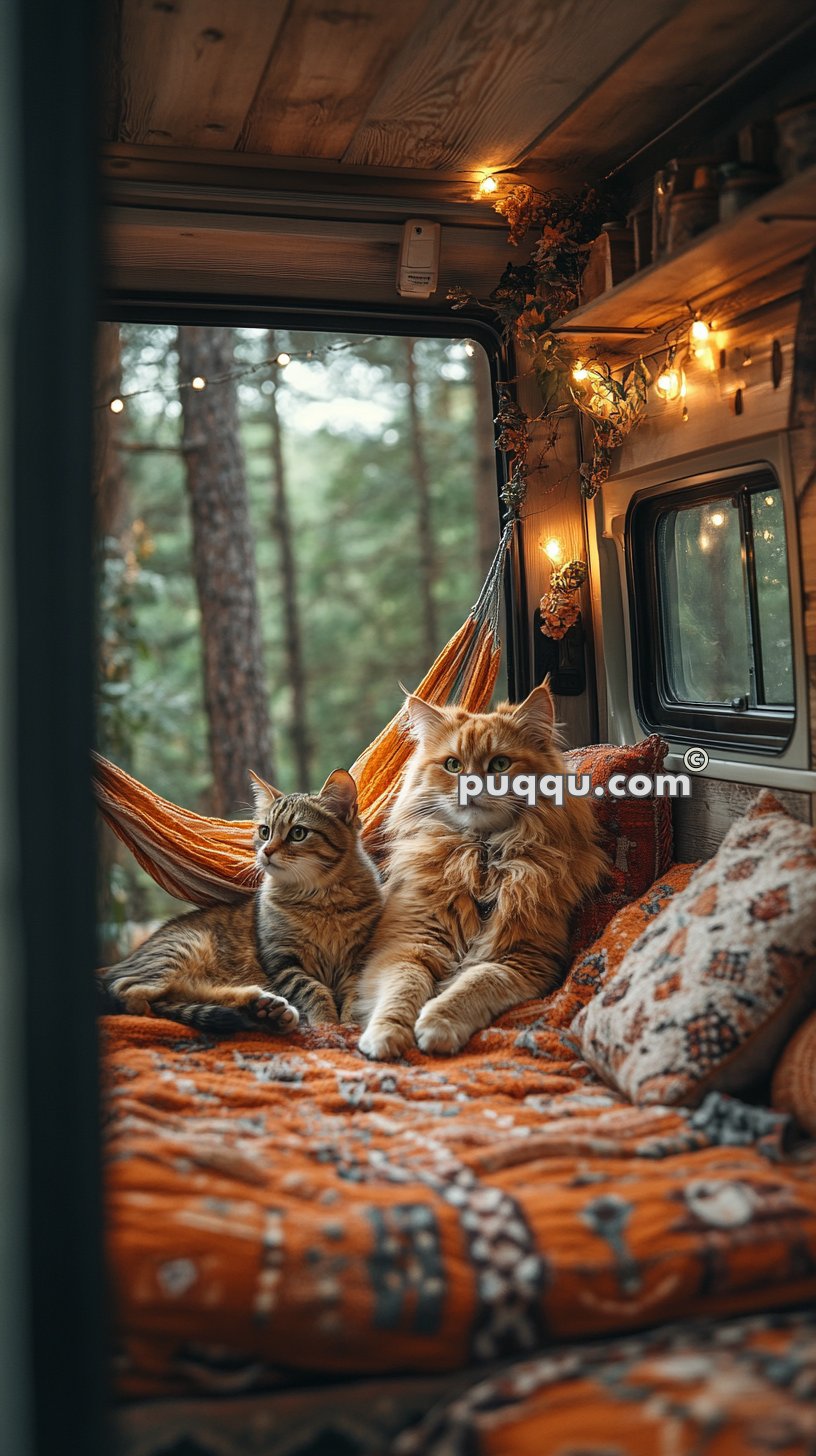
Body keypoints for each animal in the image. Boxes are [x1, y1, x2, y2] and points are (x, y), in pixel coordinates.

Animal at [101, 774, 381, 1036]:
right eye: (265, 831)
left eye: (298, 833)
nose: (266, 851)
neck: (321, 899)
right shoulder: (280, 959)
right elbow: (314, 990)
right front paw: (328, 1024)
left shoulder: (360, 959)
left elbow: (356, 995)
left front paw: (351, 1024)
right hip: (182, 949)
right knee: (132, 992)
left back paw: (264, 1010)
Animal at [357, 681, 606, 1059]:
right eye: (452, 765)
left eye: (500, 764)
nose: (471, 787)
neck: (482, 859)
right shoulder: (406, 945)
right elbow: (402, 990)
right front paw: (386, 1035)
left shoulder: (521, 959)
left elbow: (474, 985)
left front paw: (439, 1023)